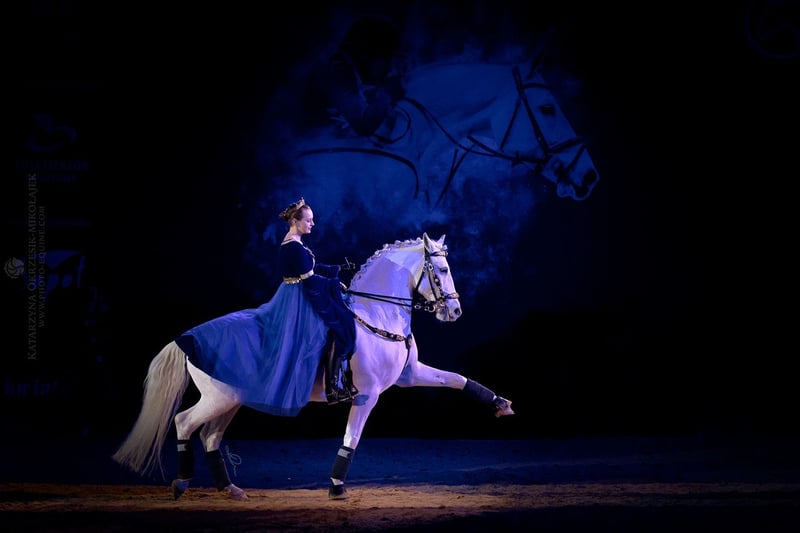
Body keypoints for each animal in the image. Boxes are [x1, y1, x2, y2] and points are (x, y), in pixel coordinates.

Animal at [112, 233, 514, 501]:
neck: (377, 313)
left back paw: (231, 489)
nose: (455, 311)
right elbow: (351, 438)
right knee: (184, 422)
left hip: (229, 400)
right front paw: (336, 486)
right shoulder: (367, 395)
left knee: (210, 435)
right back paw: (181, 483)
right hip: (218, 398)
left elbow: (457, 379)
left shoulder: (409, 375)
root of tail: (186, 338)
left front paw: (500, 404)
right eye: (441, 269)